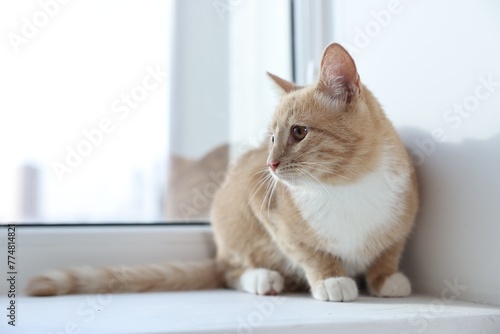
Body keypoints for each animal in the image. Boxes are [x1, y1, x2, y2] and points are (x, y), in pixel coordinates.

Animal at [26, 42, 418, 302]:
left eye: (298, 132)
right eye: (271, 138)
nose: (270, 163)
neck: (346, 185)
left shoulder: (404, 215)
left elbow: (388, 248)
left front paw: (386, 278)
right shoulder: (265, 205)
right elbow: (308, 250)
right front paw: (331, 279)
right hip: (231, 218)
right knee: (229, 270)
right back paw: (261, 278)